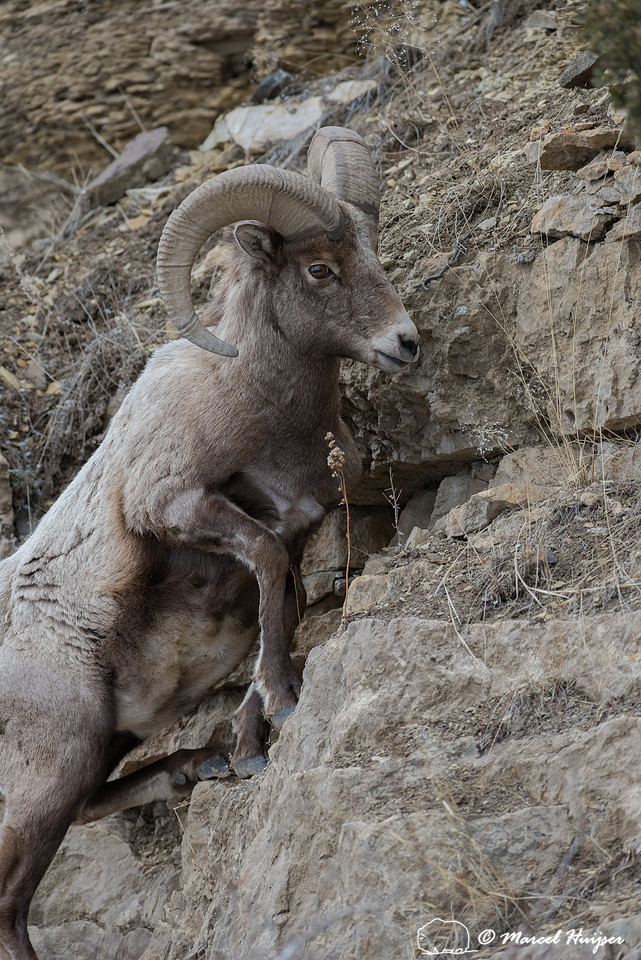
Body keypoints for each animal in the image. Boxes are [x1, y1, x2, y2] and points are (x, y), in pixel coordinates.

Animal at [0, 125, 419, 960]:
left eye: (373, 250)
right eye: (319, 268)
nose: (406, 342)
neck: (255, 406)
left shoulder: (295, 528)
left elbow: (276, 608)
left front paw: (251, 746)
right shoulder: (178, 505)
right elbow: (263, 570)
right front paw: (283, 709)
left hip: (98, 752)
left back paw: (198, 767)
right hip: (55, 766)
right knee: (9, 907)